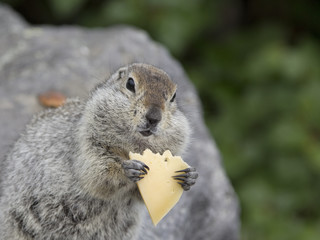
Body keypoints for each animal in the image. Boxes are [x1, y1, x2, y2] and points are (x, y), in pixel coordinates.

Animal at [0, 62, 198, 239]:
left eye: (173, 96)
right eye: (130, 84)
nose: (154, 117)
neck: (132, 147)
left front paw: (189, 176)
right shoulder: (86, 144)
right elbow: (96, 173)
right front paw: (127, 169)